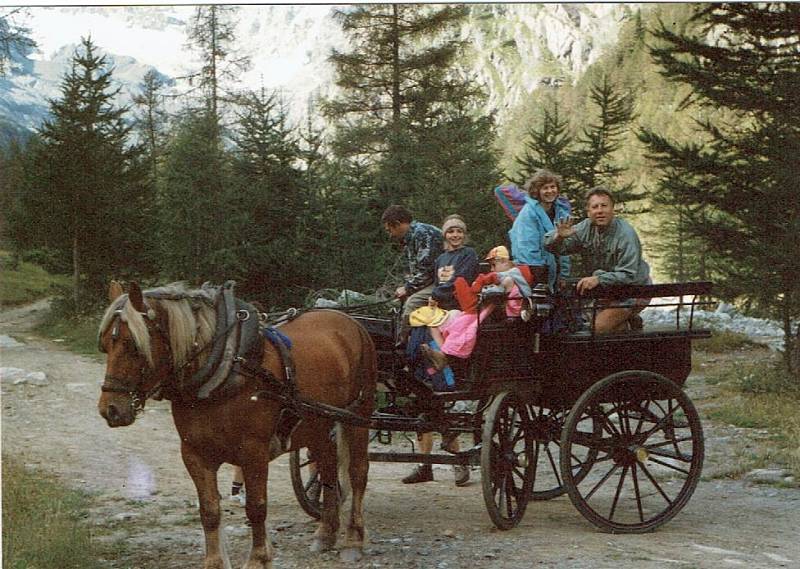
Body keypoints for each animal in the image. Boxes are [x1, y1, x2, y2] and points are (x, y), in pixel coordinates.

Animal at [97, 280, 378, 568]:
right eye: (105, 345)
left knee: (357, 473)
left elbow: (256, 507)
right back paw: (326, 533)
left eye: (133, 345)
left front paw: (258, 558)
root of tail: (349, 321)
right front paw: (214, 562)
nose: (110, 409)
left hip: (358, 414)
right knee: (329, 470)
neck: (224, 368)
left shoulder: (253, 452)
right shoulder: (194, 453)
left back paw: (353, 539)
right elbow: (209, 510)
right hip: (319, 424)